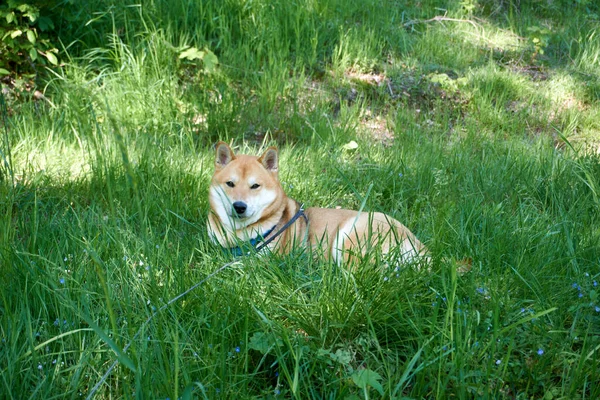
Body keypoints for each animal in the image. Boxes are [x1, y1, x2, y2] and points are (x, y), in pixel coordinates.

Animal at [209, 141, 428, 266]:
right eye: (230, 184)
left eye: (255, 186)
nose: (239, 206)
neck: (236, 234)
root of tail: (419, 246)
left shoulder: (264, 259)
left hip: (348, 237)